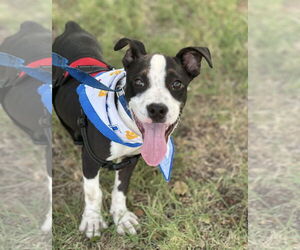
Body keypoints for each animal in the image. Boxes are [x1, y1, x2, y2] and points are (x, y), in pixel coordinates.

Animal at [52, 21, 212, 236]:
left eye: (177, 83)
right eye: (139, 81)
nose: (157, 109)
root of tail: (72, 27)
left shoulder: (129, 160)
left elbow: (121, 189)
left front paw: (121, 217)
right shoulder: (90, 160)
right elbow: (93, 191)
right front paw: (93, 220)